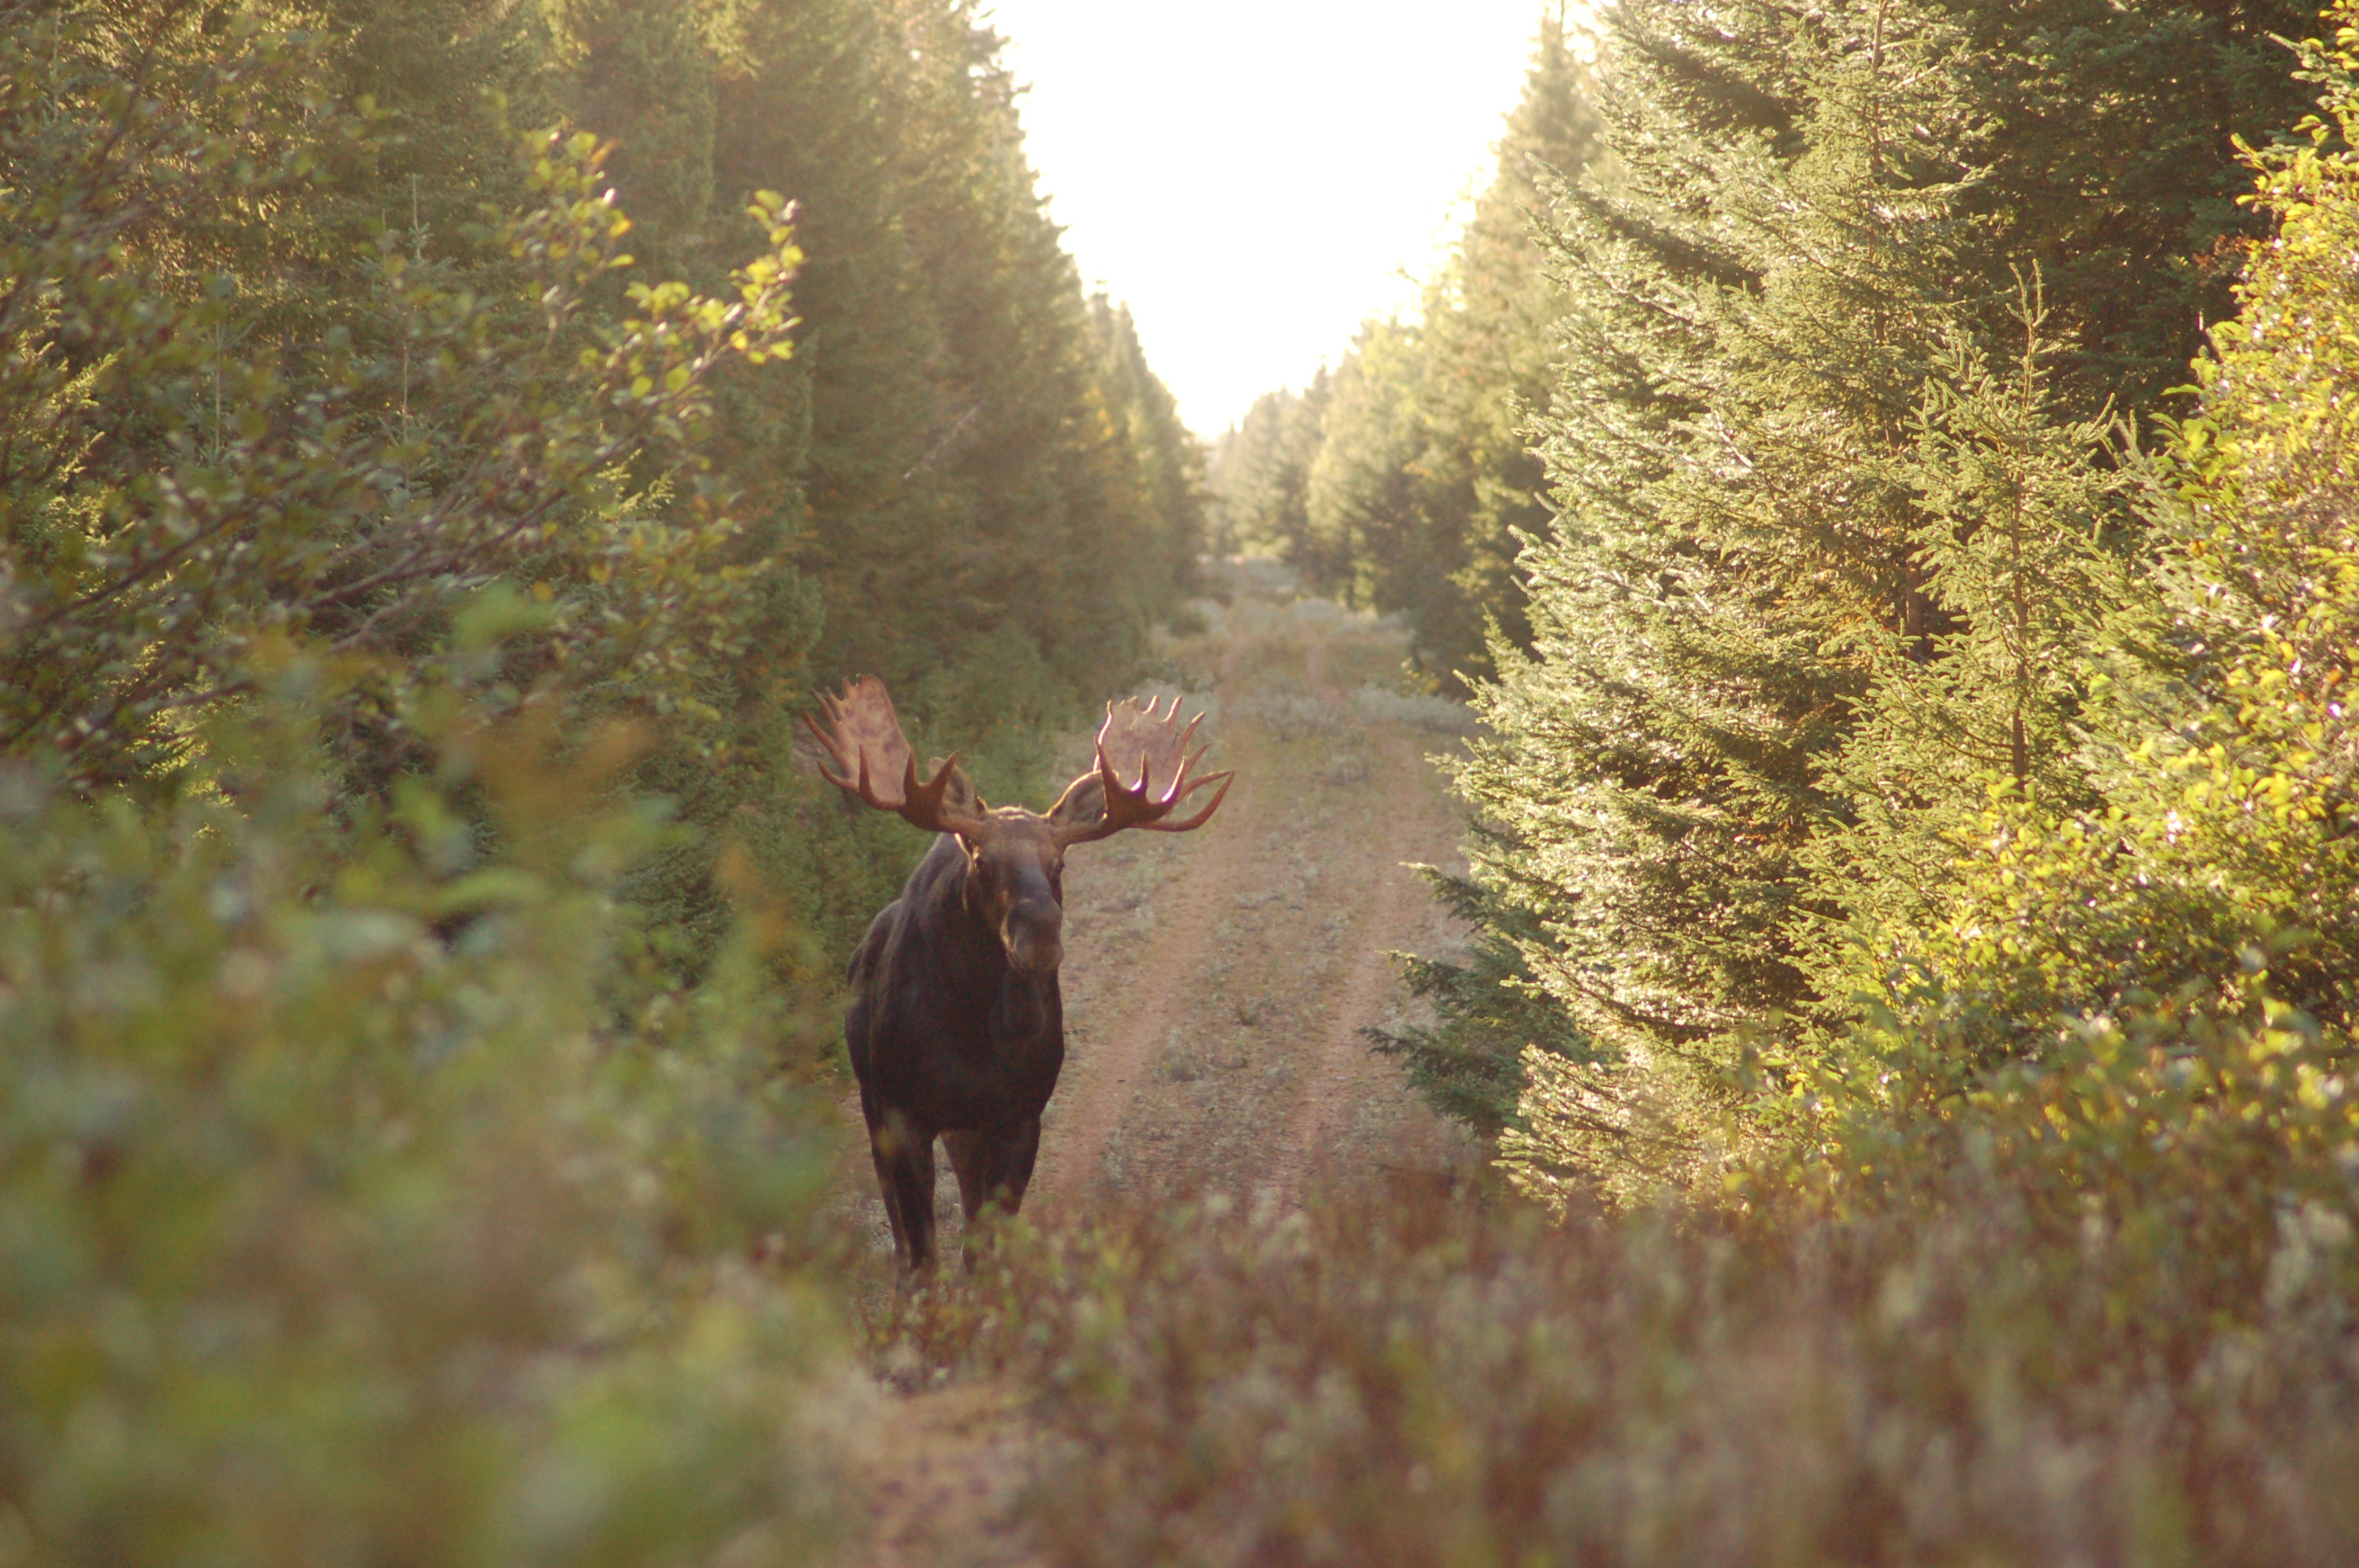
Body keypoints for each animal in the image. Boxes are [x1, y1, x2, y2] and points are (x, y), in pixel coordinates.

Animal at [804, 676, 1232, 1276]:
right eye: (983, 862)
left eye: (1060, 863)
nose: (1041, 935)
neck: (969, 1032)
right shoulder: (901, 1112)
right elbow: (923, 1257)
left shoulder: (1019, 1114)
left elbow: (984, 1247)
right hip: (875, 1103)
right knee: (901, 1240)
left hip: (966, 1128)